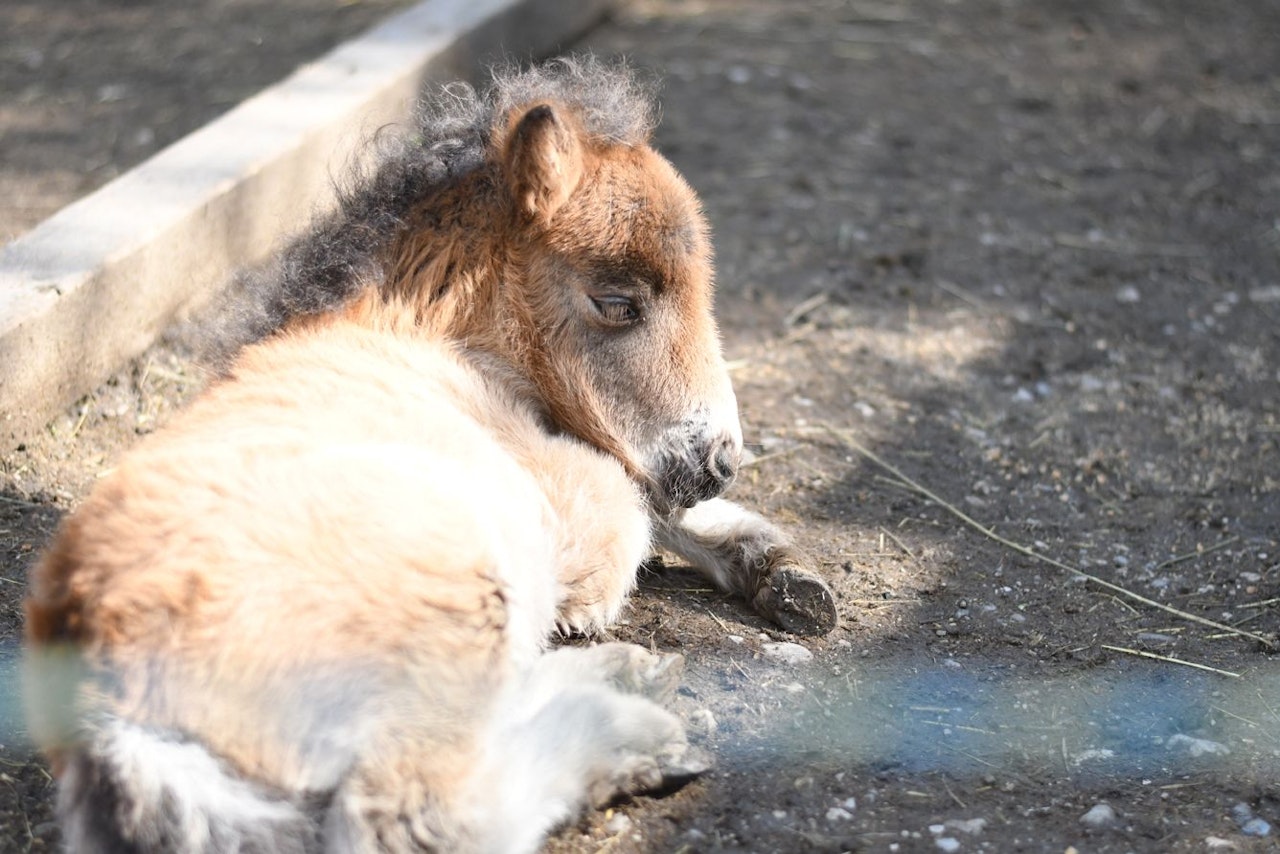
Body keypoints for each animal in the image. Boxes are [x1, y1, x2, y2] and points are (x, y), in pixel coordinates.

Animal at [24, 58, 836, 853]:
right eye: (617, 302)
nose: (720, 460)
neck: (419, 332)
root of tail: (105, 688)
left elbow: (651, 497)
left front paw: (786, 576)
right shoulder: (568, 495)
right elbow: (629, 500)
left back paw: (636, 677)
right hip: (457, 607)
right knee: (425, 810)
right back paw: (642, 731)